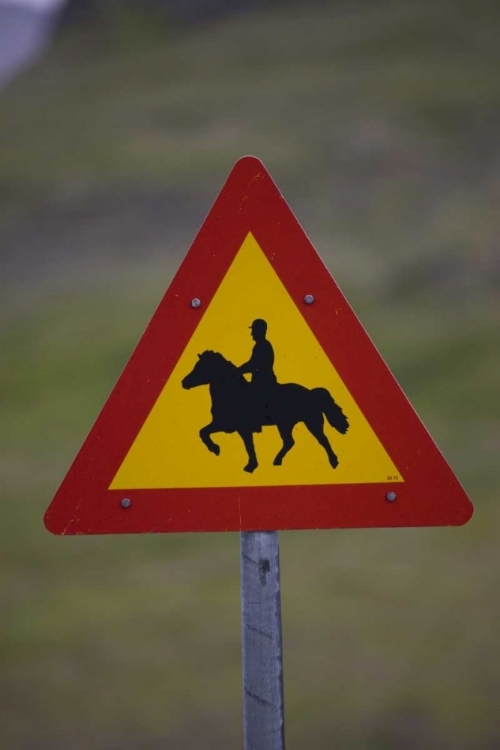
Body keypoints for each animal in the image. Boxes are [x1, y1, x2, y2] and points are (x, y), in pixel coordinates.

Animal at [182, 352, 350, 476]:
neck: (233, 392)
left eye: (202, 367)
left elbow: (249, 446)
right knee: (289, 442)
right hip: (285, 425)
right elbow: (203, 432)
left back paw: (334, 462)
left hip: (311, 422)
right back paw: (277, 461)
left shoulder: (240, 428)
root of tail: (311, 393)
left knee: (323, 439)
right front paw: (216, 449)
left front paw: (249, 465)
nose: (184, 382)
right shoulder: (223, 424)